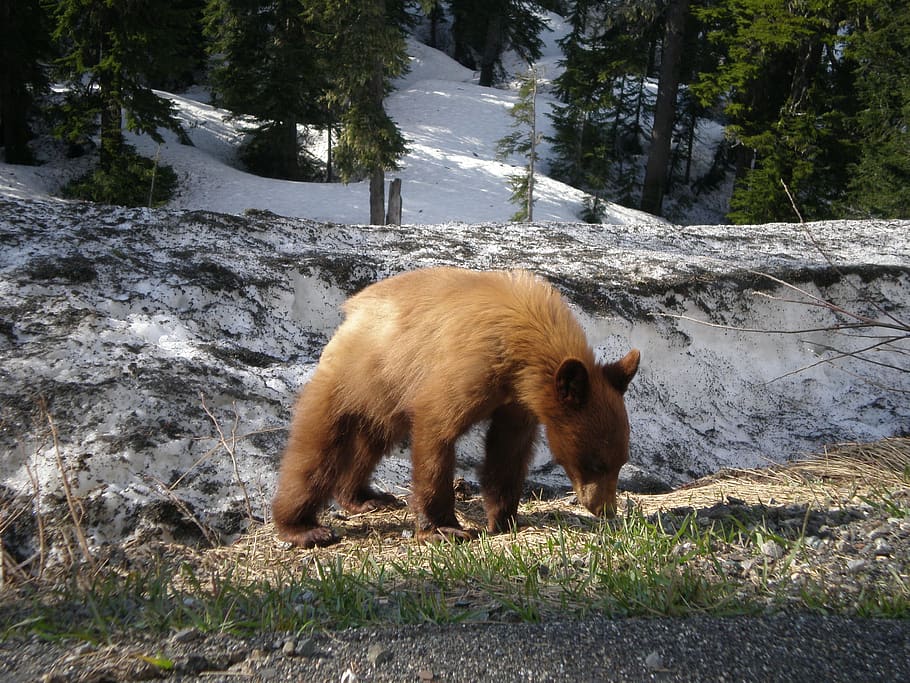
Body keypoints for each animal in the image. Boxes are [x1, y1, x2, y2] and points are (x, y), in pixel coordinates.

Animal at [272, 266, 640, 548]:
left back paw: (365, 498)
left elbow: (508, 450)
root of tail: (352, 310)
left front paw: (504, 518)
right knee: (315, 450)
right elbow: (437, 428)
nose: (605, 509)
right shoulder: (472, 366)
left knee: (371, 442)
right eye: (595, 462)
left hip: (384, 398)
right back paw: (304, 528)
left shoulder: (518, 400)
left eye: (621, 461)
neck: (524, 339)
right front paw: (443, 528)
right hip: (355, 376)